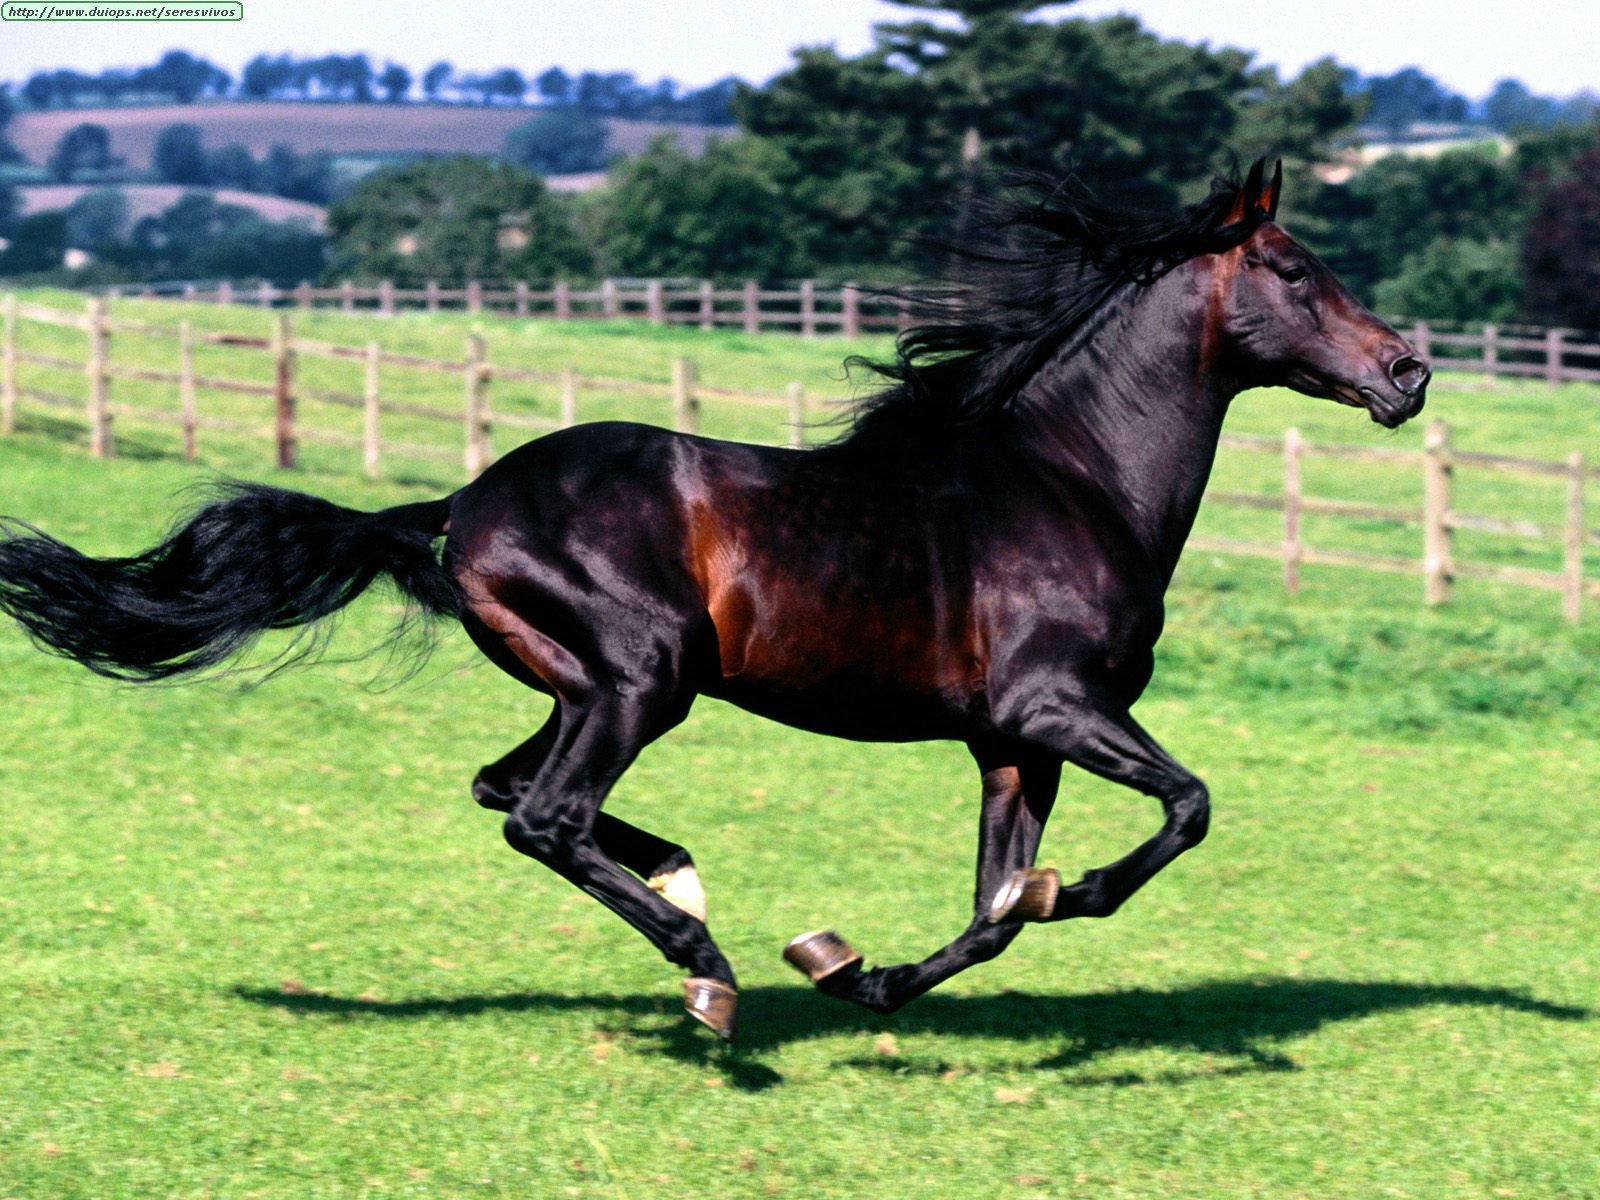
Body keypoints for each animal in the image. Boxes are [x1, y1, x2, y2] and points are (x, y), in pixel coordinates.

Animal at [0, 160, 1428, 1042]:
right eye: (1293, 270)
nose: (1407, 373)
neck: (1070, 481)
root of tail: (461, 505)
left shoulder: (1010, 743)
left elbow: (986, 913)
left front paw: (862, 971)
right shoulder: (1053, 708)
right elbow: (1182, 812)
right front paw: (1052, 899)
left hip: (587, 685)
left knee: (509, 793)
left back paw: (692, 897)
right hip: (643, 677)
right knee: (546, 815)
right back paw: (706, 971)